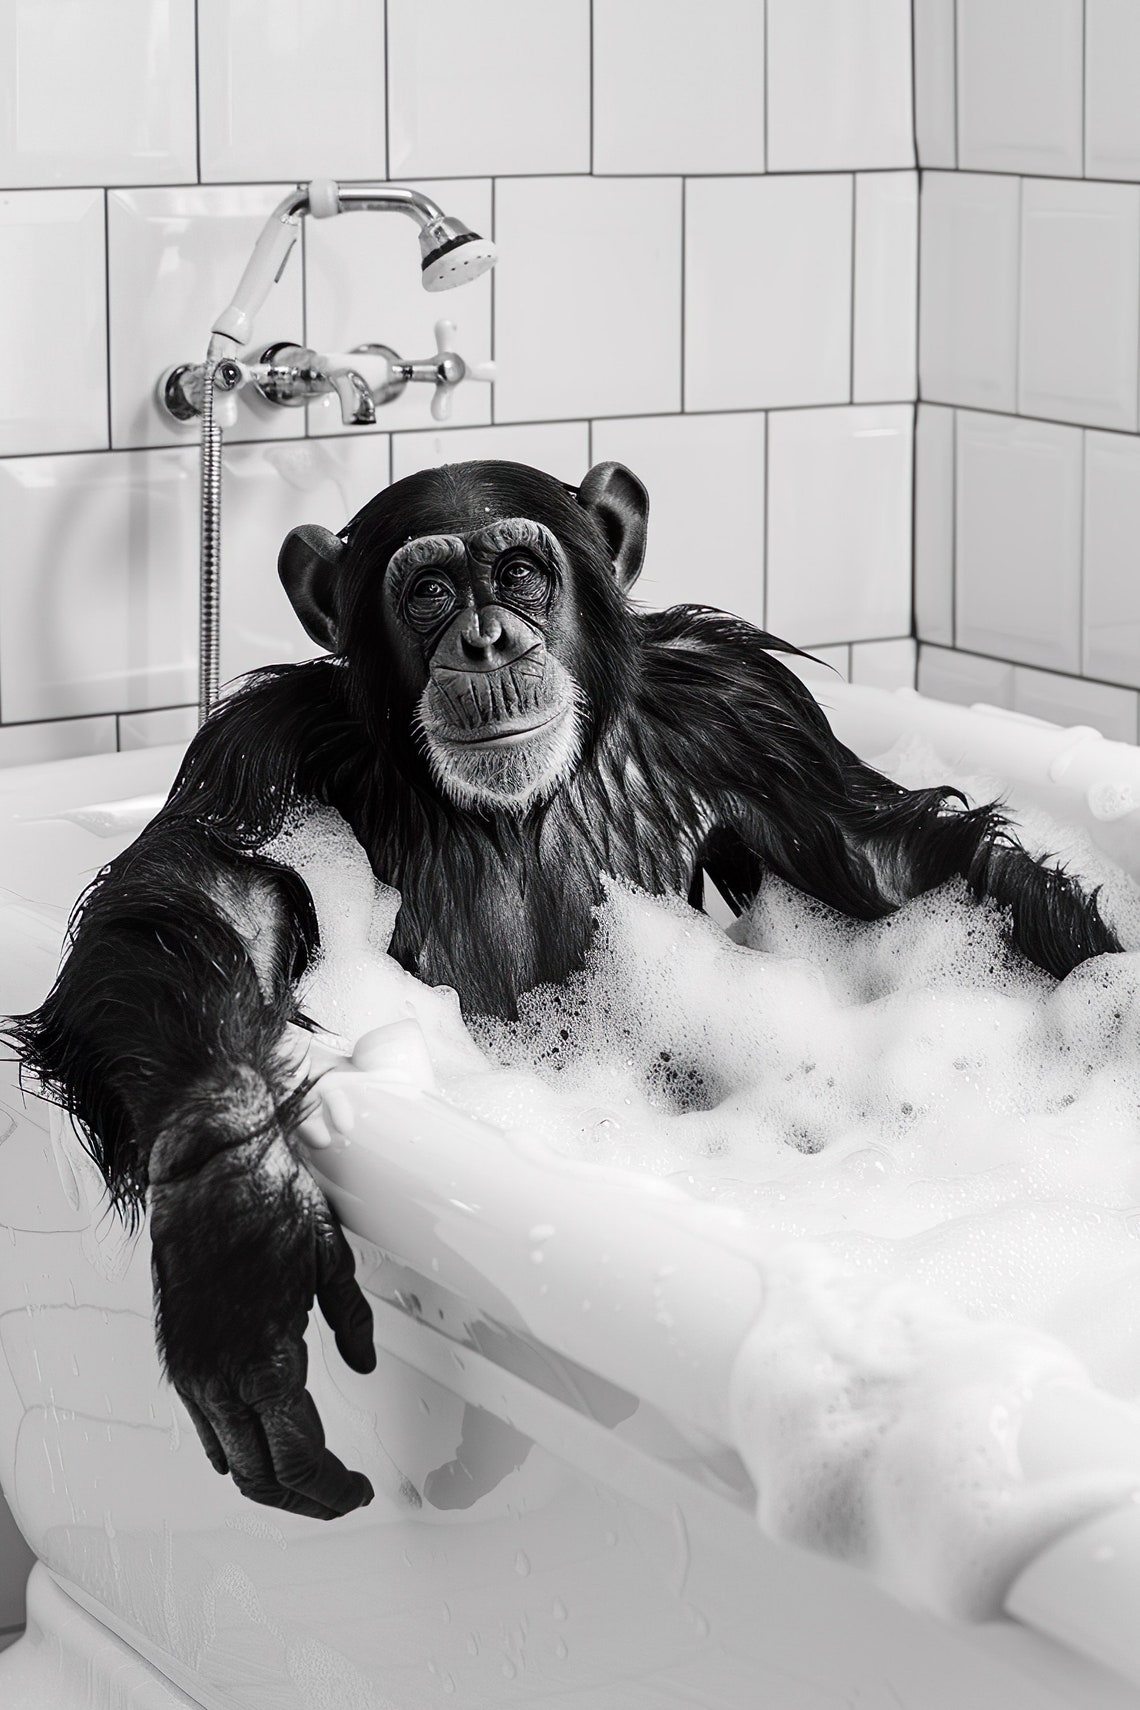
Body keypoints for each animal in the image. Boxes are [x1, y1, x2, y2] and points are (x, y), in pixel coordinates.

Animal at [9, 458, 1122, 1518]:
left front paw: (1116, 1020)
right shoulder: (265, 748)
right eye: (428, 591)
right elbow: (209, 895)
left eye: (517, 573)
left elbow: (895, 867)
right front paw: (232, 1222)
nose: (486, 640)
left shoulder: (751, 709)